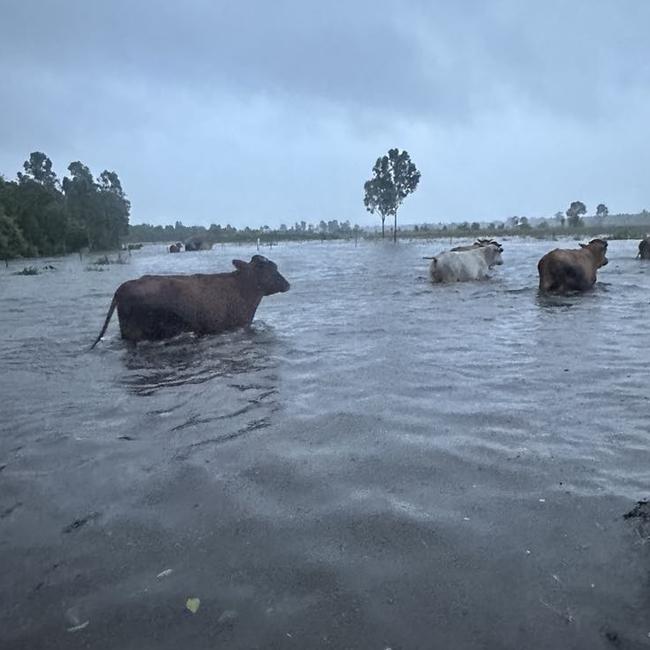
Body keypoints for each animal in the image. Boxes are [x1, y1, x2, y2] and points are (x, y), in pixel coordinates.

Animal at [90, 253, 288, 346]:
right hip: (135, 333)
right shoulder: (237, 326)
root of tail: (123, 287)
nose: (287, 284)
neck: (244, 290)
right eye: (270, 268)